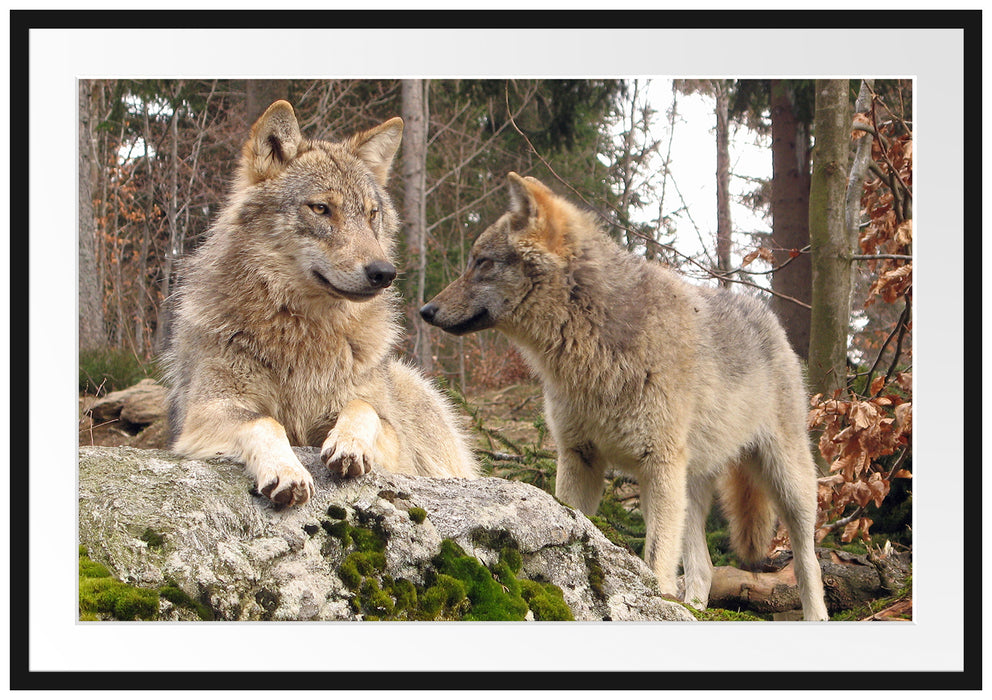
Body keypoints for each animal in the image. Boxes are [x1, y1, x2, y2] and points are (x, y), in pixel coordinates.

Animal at [163, 100, 478, 507]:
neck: (303, 329)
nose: (384, 272)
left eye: (371, 214)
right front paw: (286, 470)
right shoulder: (206, 413)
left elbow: (363, 408)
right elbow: (265, 422)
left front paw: (350, 445)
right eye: (321, 208)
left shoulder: (393, 439)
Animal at [421, 173, 829, 620]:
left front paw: (655, 600)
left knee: (808, 560)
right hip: (690, 490)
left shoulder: (658, 465)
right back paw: (693, 608)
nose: (425, 310)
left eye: (482, 262)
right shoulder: (579, 456)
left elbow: (656, 558)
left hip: (785, 484)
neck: (591, 348)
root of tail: (769, 317)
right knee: (702, 568)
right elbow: (574, 524)